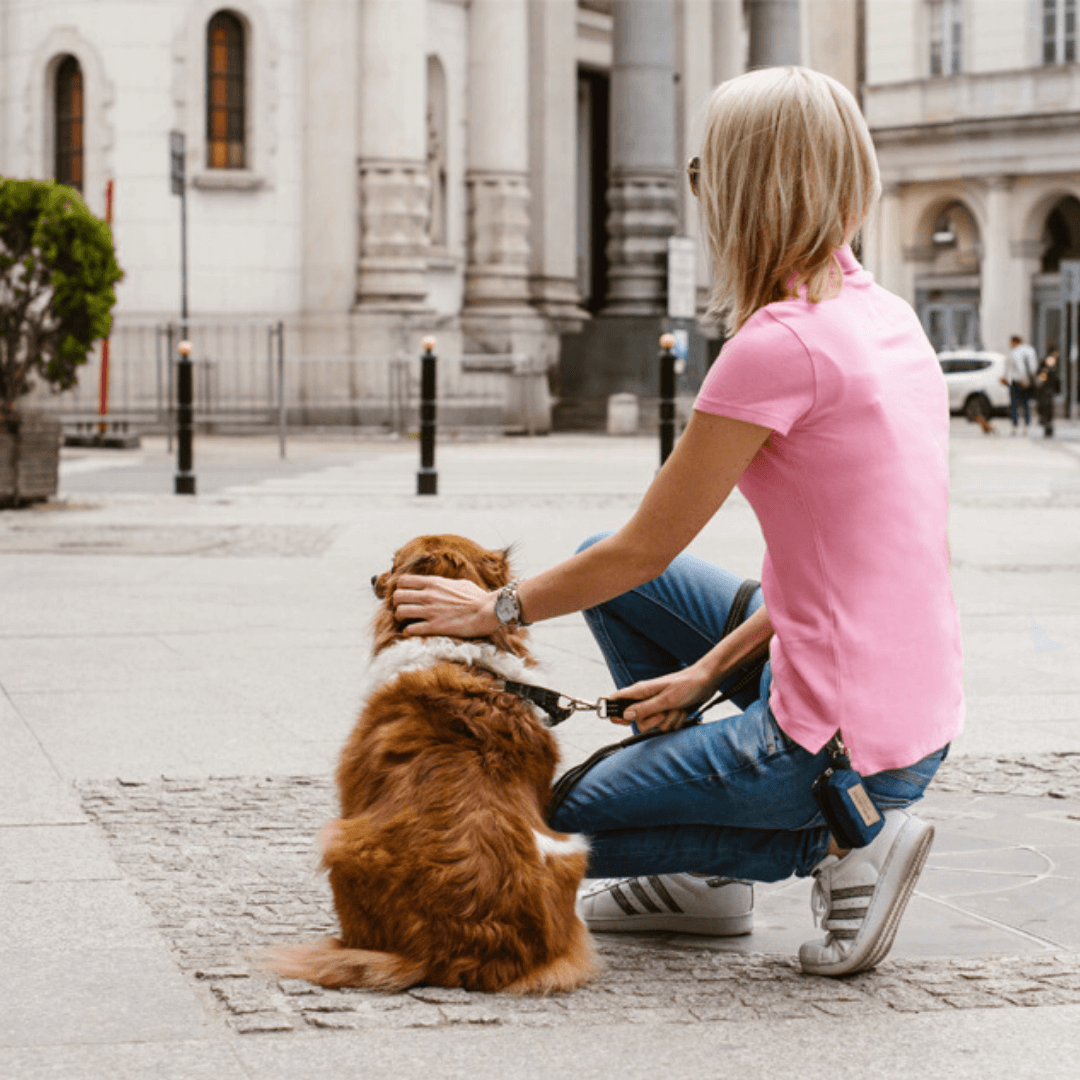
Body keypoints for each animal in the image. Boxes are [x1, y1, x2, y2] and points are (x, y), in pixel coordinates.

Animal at [263, 533, 600, 993]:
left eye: (393, 563)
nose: (373, 577)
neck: (463, 654)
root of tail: (461, 950)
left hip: (340, 841)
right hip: (573, 851)